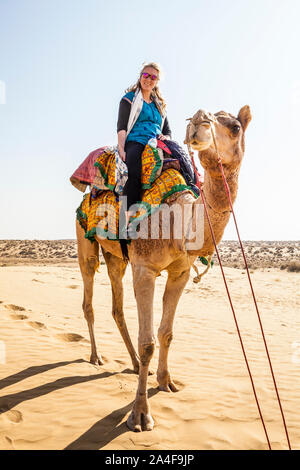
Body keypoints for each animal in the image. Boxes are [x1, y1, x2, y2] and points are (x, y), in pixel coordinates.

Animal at [75, 104, 251, 432]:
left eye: (235, 127)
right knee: (89, 297)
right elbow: (148, 342)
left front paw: (166, 382)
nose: (198, 120)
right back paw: (96, 356)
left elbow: (166, 333)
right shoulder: (145, 270)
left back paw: (132, 364)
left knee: (117, 307)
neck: (179, 220)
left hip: (117, 258)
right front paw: (140, 415)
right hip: (85, 241)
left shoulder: (179, 273)